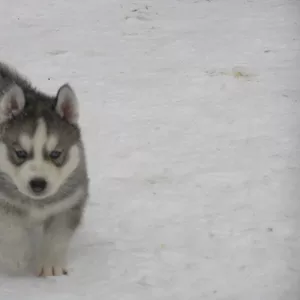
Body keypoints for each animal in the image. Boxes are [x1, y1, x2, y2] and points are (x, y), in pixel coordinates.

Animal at [0, 62, 88, 278]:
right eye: (20, 153)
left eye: (56, 154)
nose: (38, 184)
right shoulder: (3, 200)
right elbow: (9, 226)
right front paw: (17, 257)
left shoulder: (69, 201)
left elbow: (59, 234)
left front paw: (51, 264)